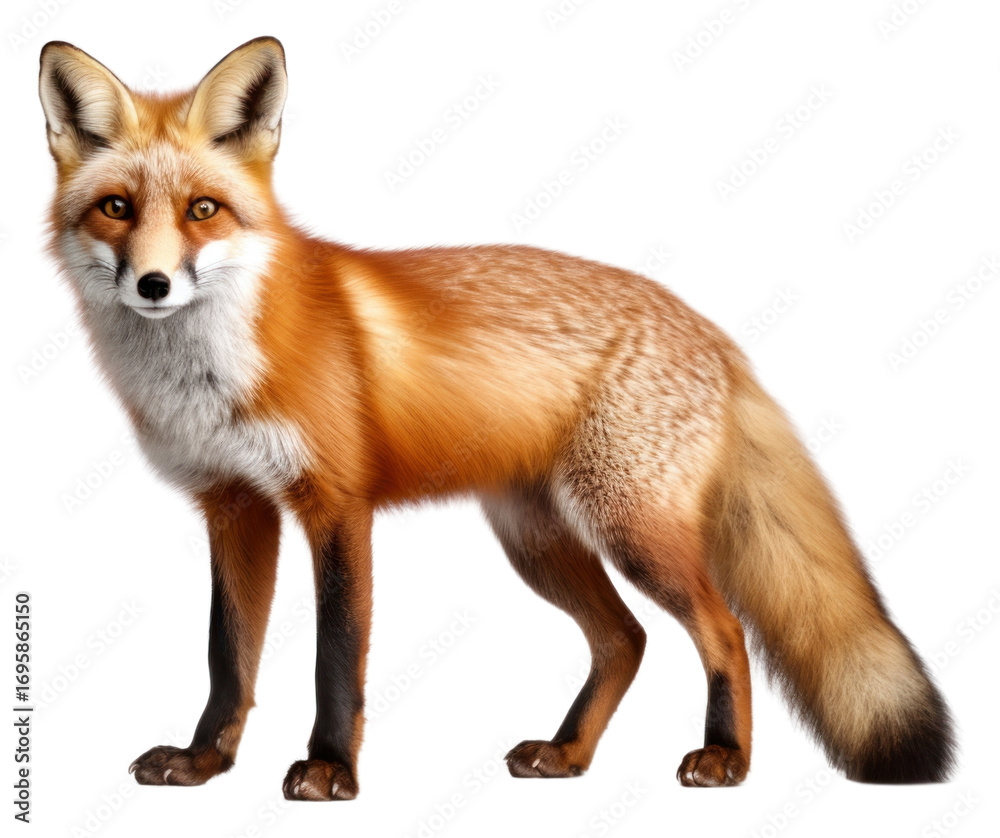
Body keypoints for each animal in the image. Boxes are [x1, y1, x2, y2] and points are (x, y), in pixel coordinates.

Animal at [39, 36, 955, 800]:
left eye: (203, 210)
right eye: (117, 208)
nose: (154, 284)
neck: (207, 376)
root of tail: (711, 330)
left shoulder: (337, 506)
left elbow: (336, 657)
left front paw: (331, 770)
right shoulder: (233, 507)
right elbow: (228, 656)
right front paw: (204, 762)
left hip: (630, 528)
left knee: (724, 629)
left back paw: (725, 756)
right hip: (539, 541)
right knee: (625, 641)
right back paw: (569, 754)